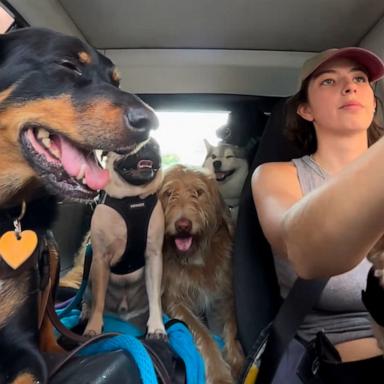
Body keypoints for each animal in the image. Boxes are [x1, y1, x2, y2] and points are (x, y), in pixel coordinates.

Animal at [82, 137, 166, 340]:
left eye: (157, 146)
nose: (149, 145)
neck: (132, 198)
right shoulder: (100, 260)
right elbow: (98, 300)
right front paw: (93, 326)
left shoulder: (154, 257)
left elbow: (154, 299)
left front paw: (156, 326)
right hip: (89, 279)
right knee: (89, 299)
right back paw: (85, 313)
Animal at [158, 165, 243, 384]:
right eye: (168, 193)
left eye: (198, 192)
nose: (183, 225)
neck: (195, 257)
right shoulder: (174, 300)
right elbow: (202, 332)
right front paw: (219, 374)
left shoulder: (226, 294)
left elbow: (231, 325)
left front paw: (237, 361)